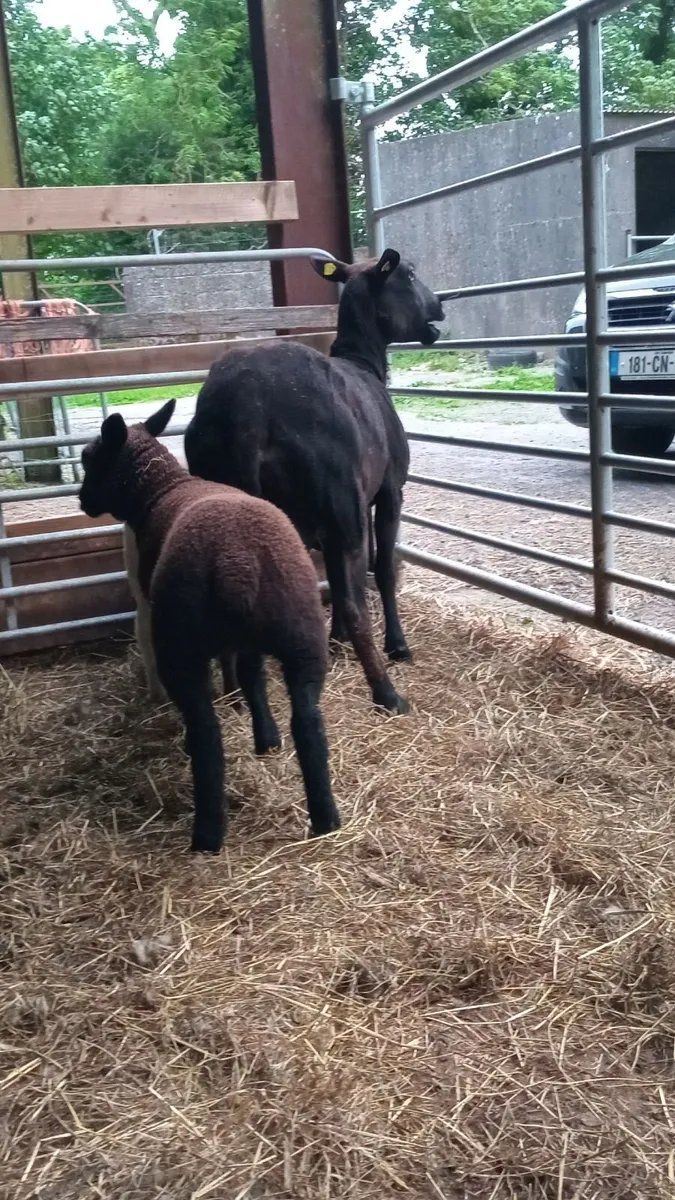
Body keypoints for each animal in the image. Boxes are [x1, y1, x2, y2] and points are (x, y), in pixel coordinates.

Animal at [79, 399, 341, 853]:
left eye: (87, 456)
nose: (81, 501)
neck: (162, 489)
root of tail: (237, 564)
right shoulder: (251, 641)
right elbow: (252, 677)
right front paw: (266, 738)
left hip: (180, 645)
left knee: (206, 733)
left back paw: (206, 832)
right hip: (304, 637)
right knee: (308, 722)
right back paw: (326, 818)